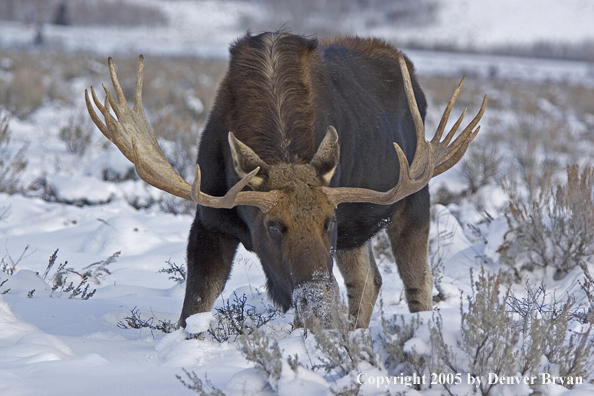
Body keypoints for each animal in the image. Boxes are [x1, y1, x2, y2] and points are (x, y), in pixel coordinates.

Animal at [86, 31, 486, 328]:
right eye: (274, 225)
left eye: (328, 221)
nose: (322, 305)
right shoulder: (209, 221)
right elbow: (193, 310)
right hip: (359, 231)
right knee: (368, 281)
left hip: (415, 196)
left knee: (418, 285)